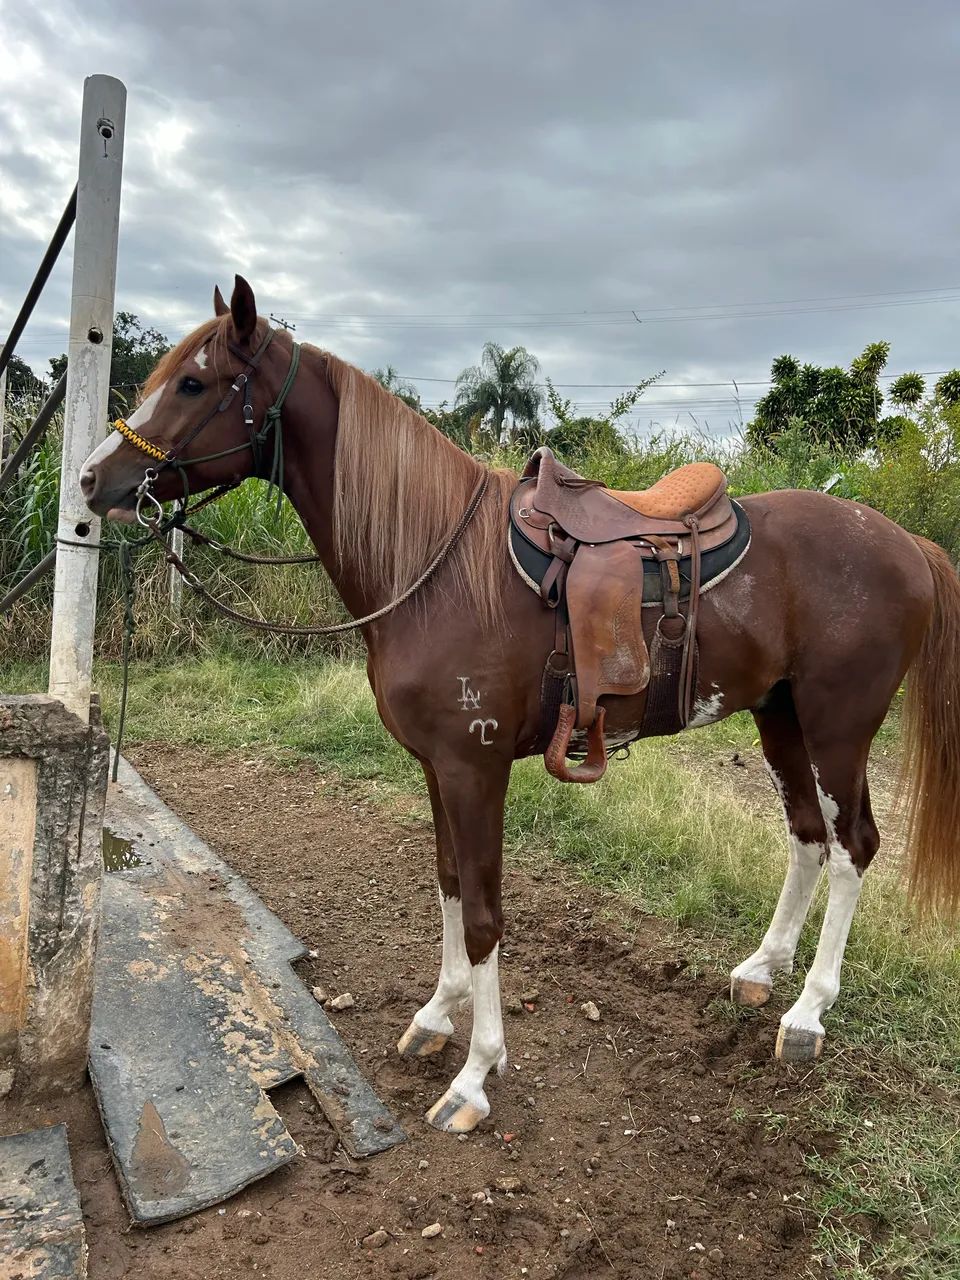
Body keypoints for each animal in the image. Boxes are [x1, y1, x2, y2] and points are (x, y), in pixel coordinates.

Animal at [80, 275, 960, 1134]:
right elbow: (448, 884)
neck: (433, 567)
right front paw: (438, 1016)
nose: (92, 480)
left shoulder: (475, 767)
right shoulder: (436, 767)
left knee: (853, 846)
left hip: (839, 725)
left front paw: (475, 1075)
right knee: (808, 837)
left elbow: (483, 915)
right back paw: (762, 971)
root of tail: (905, 543)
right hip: (780, 717)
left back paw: (808, 1013)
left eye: (195, 383)